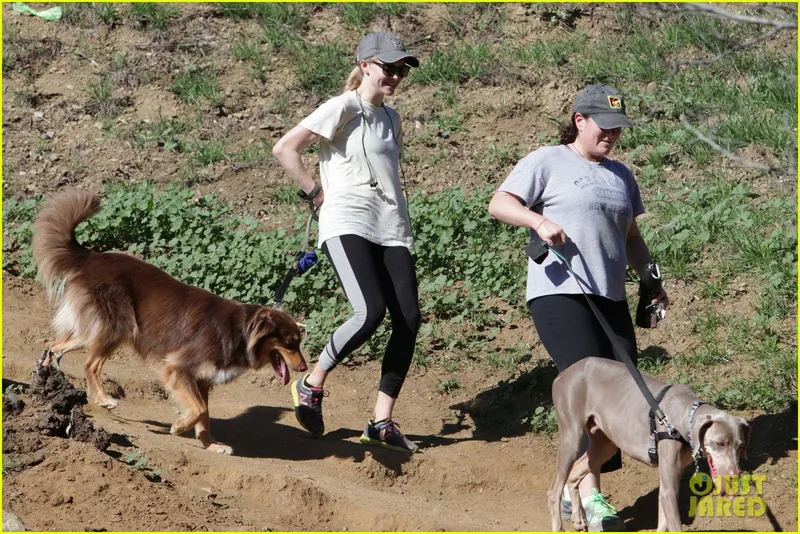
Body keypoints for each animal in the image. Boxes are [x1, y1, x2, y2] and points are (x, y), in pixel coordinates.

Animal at [32, 191, 306, 454]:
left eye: (299, 344)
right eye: (290, 344)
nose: (304, 368)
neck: (240, 331)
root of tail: (92, 257)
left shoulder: (203, 379)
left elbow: (205, 414)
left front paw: (210, 444)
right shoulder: (178, 367)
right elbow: (198, 408)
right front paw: (179, 426)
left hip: (91, 330)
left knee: (54, 346)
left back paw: (44, 386)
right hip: (118, 326)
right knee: (90, 364)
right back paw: (102, 399)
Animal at [552, 358, 752, 532]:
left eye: (741, 446)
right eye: (719, 443)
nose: (736, 475)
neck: (683, 417)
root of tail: (562, 375)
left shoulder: (668, 485)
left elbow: (663, 522)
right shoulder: (669, 489)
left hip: (605, 444)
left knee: (574, 473)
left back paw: (578, 518)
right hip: (572, 436)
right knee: (554, 491)